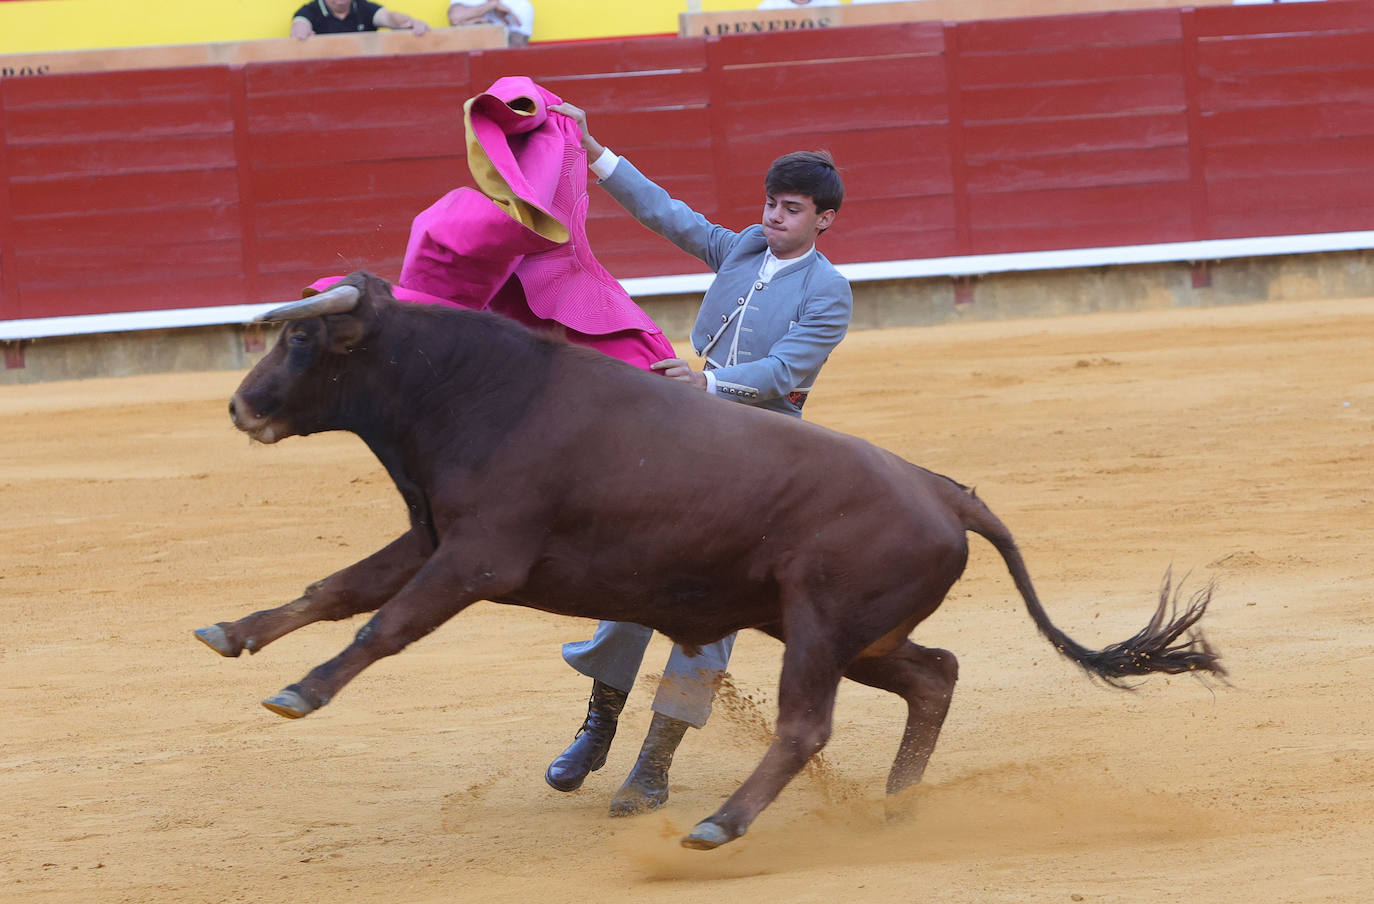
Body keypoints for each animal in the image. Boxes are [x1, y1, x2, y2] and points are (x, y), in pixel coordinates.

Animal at [196, 270, 1225, 846]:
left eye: (301, 336)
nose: (241, 408)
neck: (473, 388)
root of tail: (945, 492)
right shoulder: (432, 536)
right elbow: (336, 588)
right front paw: (235, 634)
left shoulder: (479, 559)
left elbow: (384, 624)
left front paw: (301, 692)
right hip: (851, 633)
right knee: (935, 673)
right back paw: (895, 806)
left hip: (819, 625)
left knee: (808, 725)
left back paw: (718, 825)